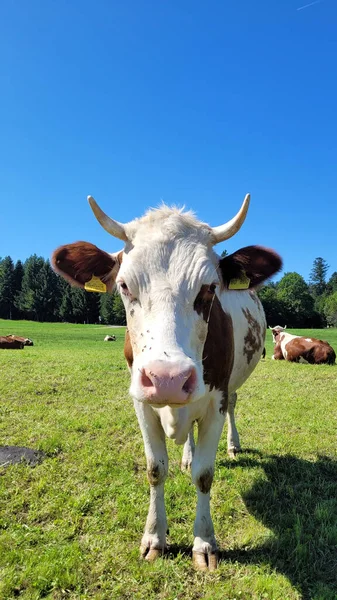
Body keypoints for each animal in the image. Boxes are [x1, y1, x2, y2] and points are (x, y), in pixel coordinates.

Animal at [50, 193, 280, 572]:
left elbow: (204, 474)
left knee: (233, 406)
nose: (168, 379)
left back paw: (233, 445)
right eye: (124, 285)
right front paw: (154, 537)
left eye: (209, 288)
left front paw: (204, 542)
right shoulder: (141, 401)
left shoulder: (215, 401)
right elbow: (155, 469)